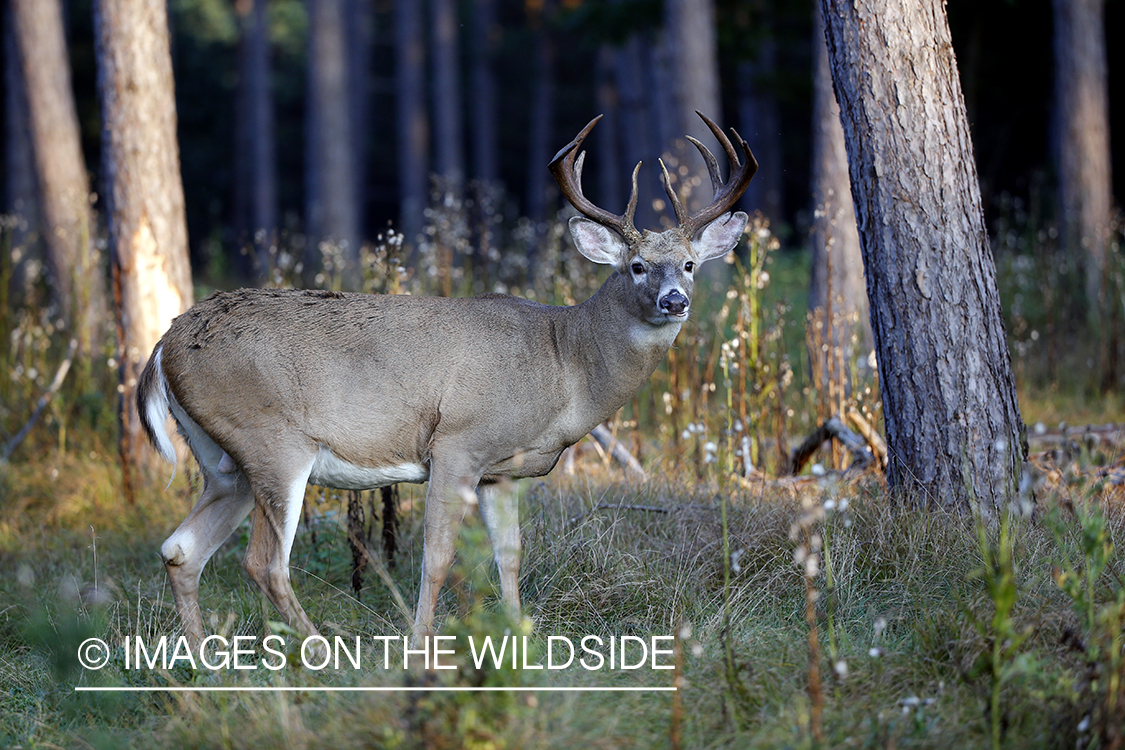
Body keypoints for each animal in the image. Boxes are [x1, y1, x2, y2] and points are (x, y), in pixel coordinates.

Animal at [140, 111, 756, 647]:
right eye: (636, 266)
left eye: (689, 265)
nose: (674, 301)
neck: (563, 361)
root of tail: (164, 345)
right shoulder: (458, 443)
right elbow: (437, 558)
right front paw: (420, 645)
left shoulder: (500, 471)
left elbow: (508, 555)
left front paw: (518, 637)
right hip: (273, 443)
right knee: (263, 563)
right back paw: (319, 652)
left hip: (225, 464)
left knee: (179, 548)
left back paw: (202, 666)